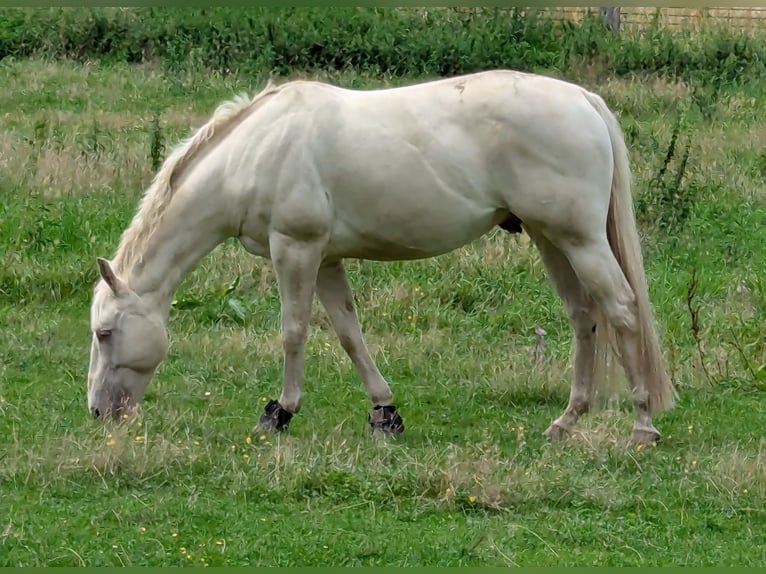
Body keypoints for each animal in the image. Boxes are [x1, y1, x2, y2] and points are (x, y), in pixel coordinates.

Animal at [87, 69, 676, 445]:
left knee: (622, 310)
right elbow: (349, 334)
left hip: (579, 240)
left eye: (105, 332)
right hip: (550, 239)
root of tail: (584, 100)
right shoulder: (325, 259)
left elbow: (293, 332)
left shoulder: (294, 249)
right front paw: (384, 413)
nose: (99, 412)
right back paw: (566, 423)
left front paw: (279, 413)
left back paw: (642, 428)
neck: (255, 151)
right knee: (584, 317)